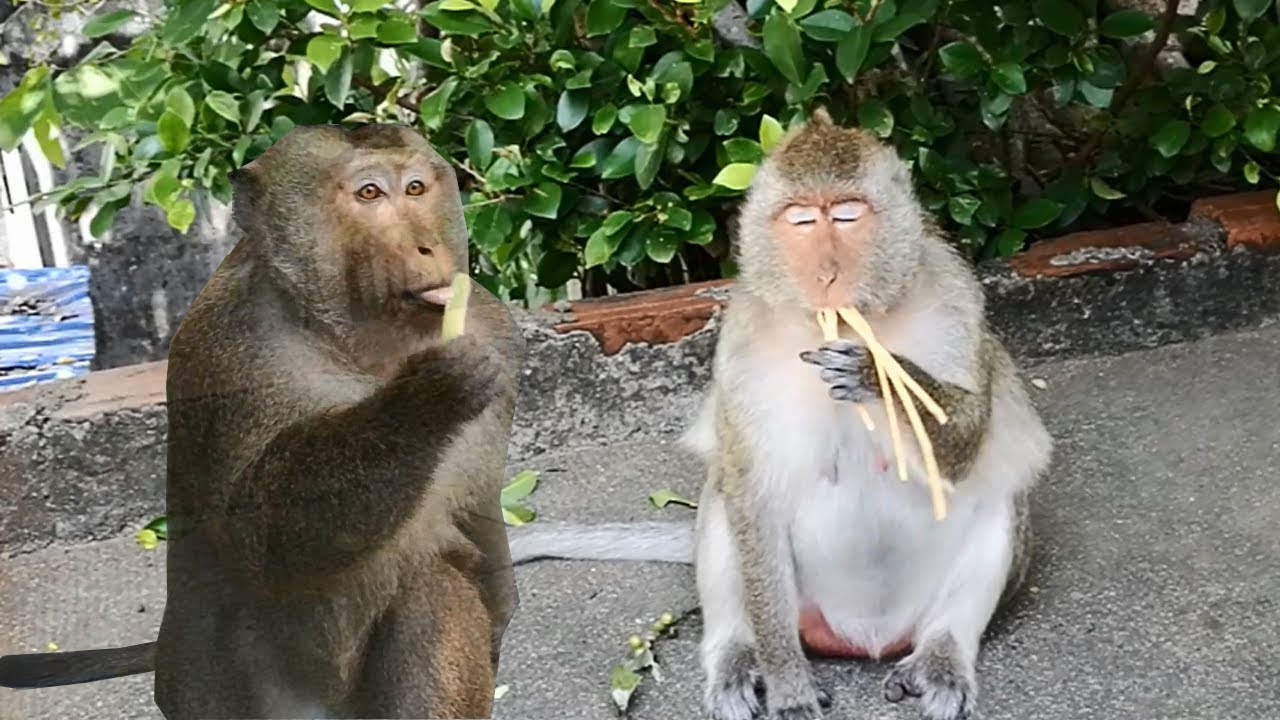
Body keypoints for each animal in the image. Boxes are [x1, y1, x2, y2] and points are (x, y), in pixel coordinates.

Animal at [0, 123, 526, 720]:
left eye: (416, 188)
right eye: (370, 194)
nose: (426, 245)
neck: (360, 346)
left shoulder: (495, 328)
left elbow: (478, 511)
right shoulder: (229, 346)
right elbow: (261, 542)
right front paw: (425, 398)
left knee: (434, 587)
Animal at [501, 110, 1053, 720]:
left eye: (847, 214)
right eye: (801, 221)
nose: (827, 272)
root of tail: (867, 639)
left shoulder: (958, 298)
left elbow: (968, 440)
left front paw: (877, 375)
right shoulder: (740, 341)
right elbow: (752, 493)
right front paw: (787, 683)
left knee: (999, 494)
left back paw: (943, 653)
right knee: (726, 500)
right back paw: (738, 653)